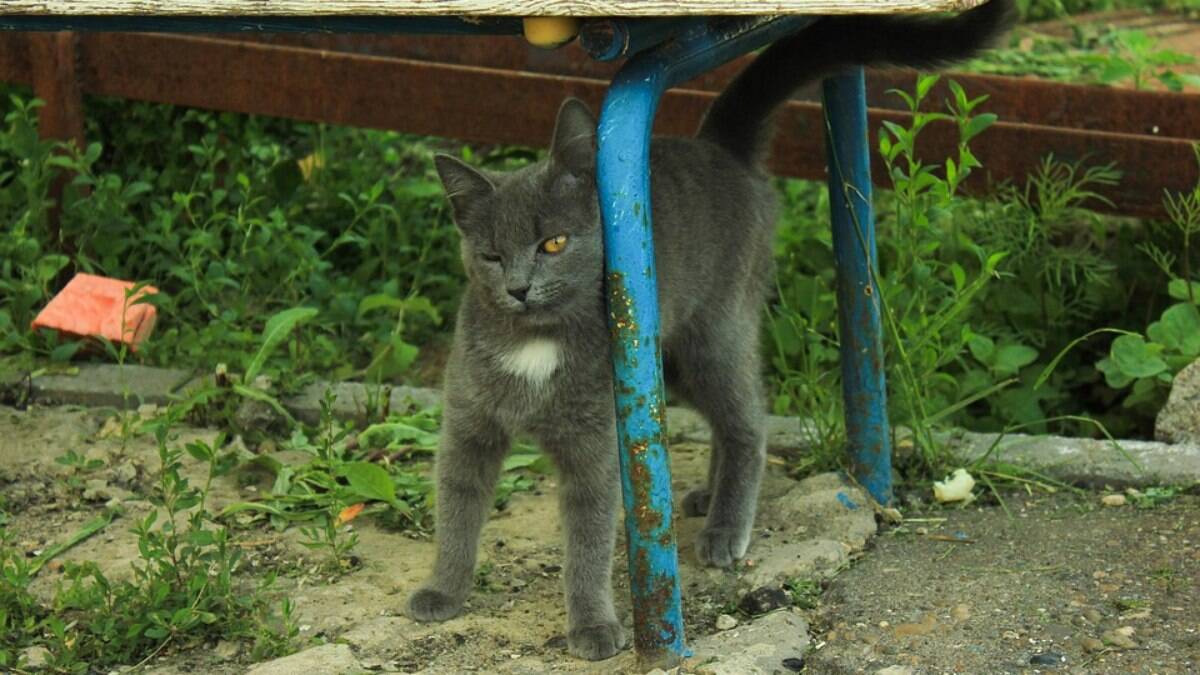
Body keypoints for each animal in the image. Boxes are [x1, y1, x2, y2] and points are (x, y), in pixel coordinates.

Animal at [405, 2, 1012, 658]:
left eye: (554, 243)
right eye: (491, 256)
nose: (518, 287)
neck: (535, 345)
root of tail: (720, 146)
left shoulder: (596, 444)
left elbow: (588, 539)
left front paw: (592, 625)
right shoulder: (468, 426)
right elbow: (457, 505)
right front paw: (443, 591)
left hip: (714, 333)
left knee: (749, 418)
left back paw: (726, 526)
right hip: (666, 363)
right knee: (725, 415)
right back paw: (704, 495)